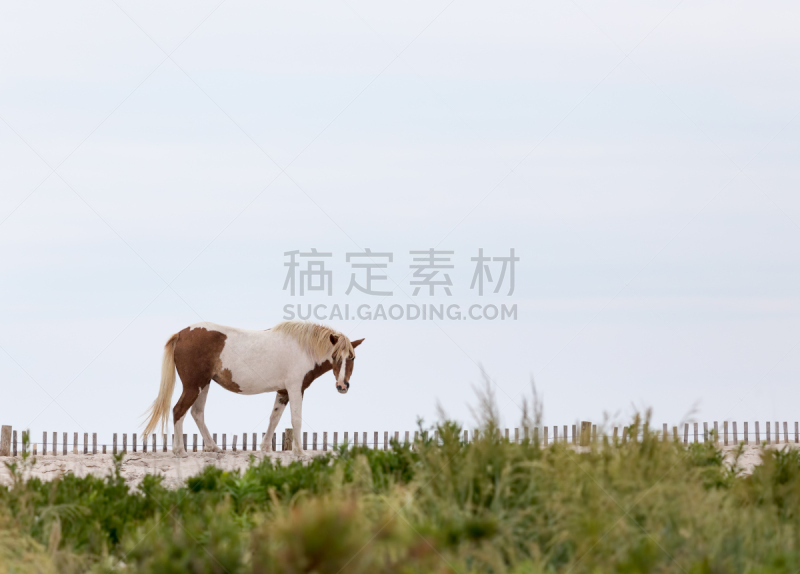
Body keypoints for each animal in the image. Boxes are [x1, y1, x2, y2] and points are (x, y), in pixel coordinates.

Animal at [142, 320, 364, 460]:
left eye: (352, 357)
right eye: (335, 357)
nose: (342, 386)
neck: (303, 348)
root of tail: (182, 333)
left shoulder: (283, 391)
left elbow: (274, 418)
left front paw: (265, 449)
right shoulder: (295, 388)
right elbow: (296, 420)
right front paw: (299, 453)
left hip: (203, 385)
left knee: (197, 413)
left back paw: (214, 448)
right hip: (193, 385)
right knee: (179, 411)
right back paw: (180, 451)